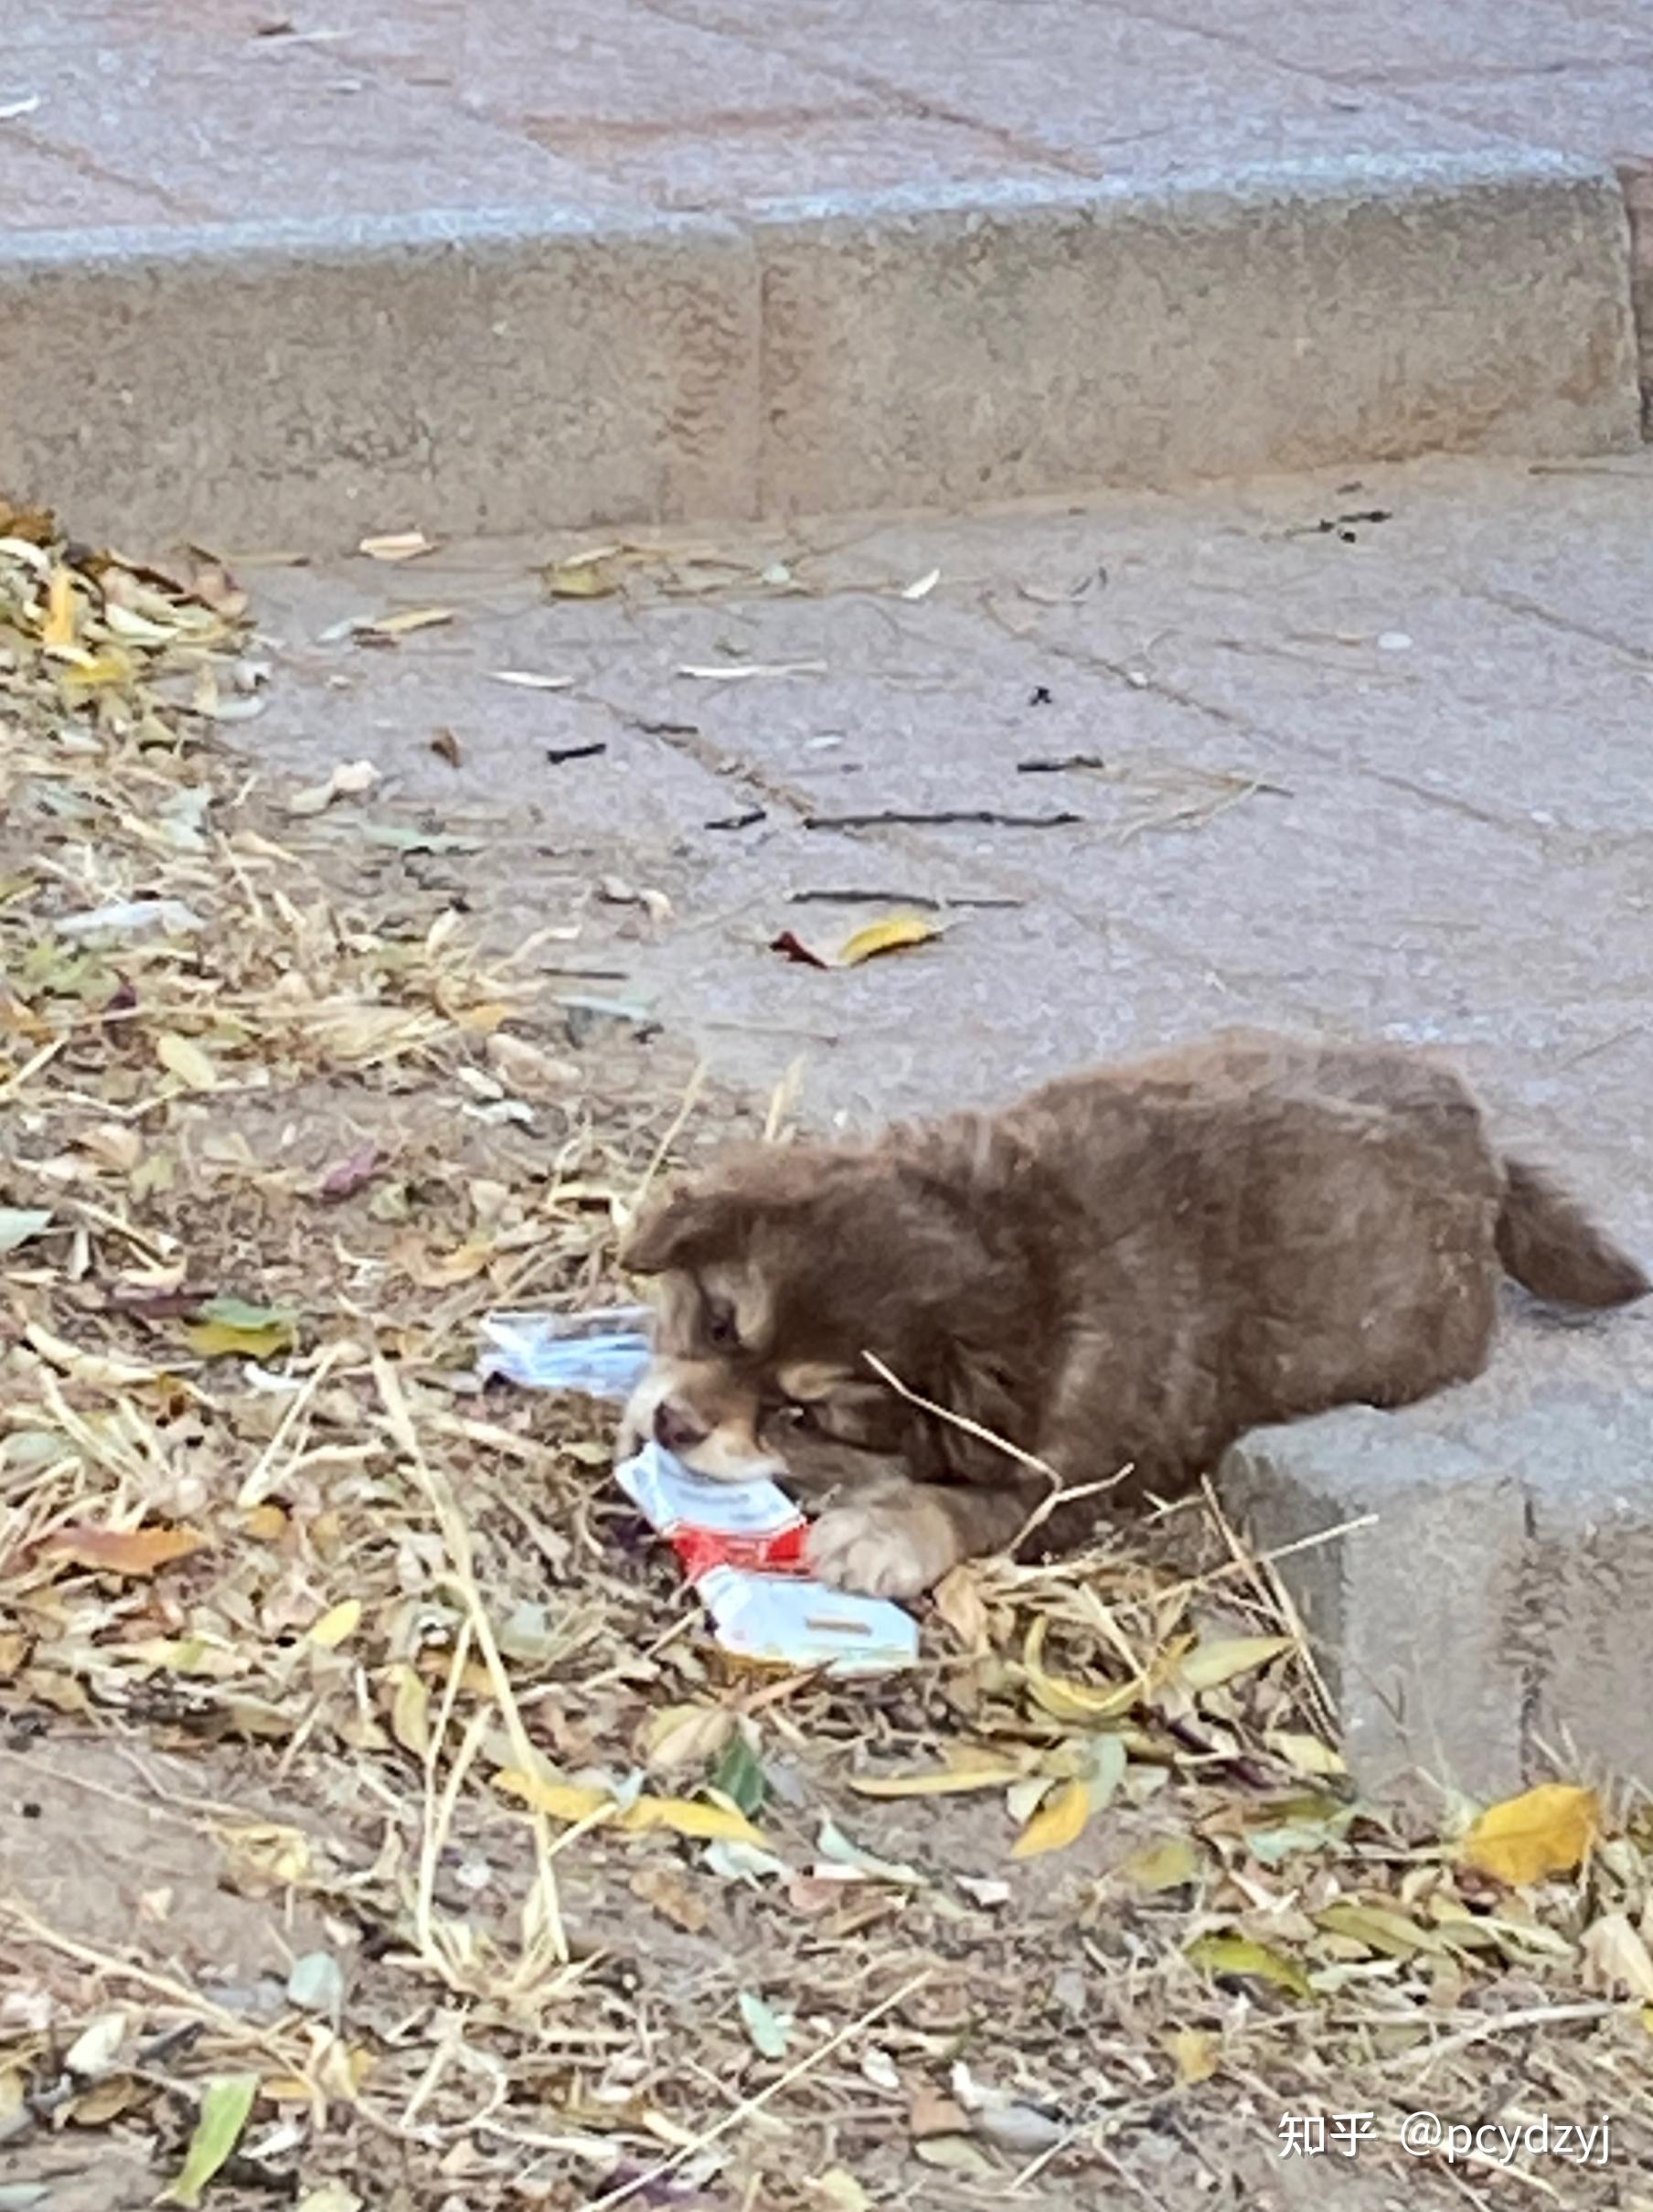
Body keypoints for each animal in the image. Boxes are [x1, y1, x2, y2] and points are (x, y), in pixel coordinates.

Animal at [619, 1026, 1646, 1601]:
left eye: (804, 1416)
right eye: (720, 1324)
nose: (674, 1425)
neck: (1014, 1249)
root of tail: (1484, 1147)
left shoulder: (1064, 1479)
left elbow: (963, 1503)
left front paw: (878, 1533)